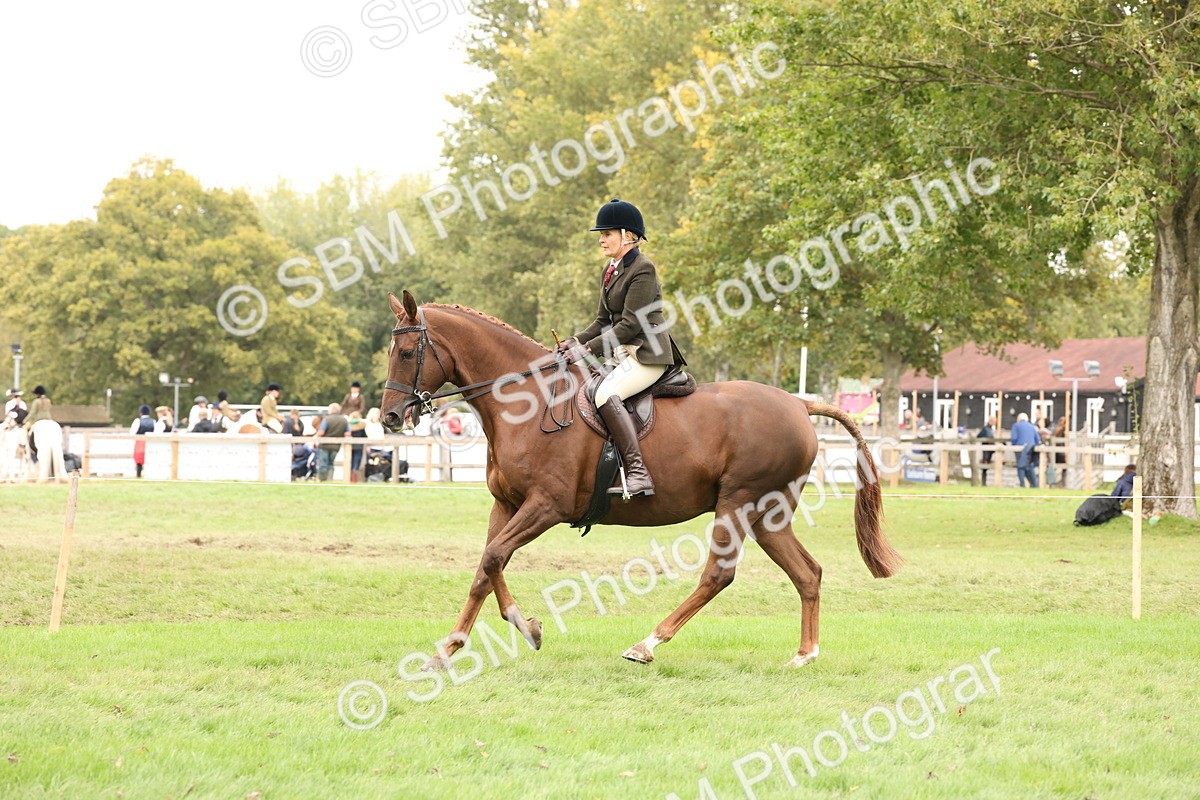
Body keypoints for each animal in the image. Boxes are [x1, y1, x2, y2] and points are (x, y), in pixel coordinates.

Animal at [380, 291, 901, 668]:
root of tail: (798, 404)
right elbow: (486, 568)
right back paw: (804, 655)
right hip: (768, 514)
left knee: (719, 574)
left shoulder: (546, 506)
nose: (389, 418)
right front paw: (456, 646)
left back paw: (647, 644)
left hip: (739, 504)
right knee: (807, 573)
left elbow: (493, 559)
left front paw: (516, 628)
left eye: (406, 352)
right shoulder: (506, 504)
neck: (530, 402)